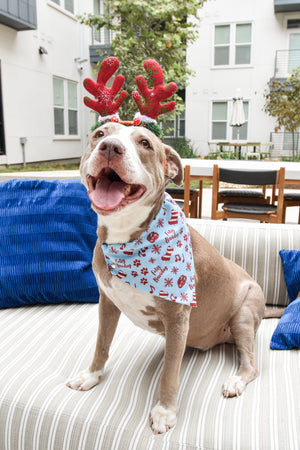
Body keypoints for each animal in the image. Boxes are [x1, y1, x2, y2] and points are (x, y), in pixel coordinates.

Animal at [66, 121, 264, 434]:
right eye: (100, 134)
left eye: (145, 143)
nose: (110, 147)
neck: (126, 239)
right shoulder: (107, 304)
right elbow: (101, 344)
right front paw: (91, 376)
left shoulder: (177, 318)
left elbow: (170, 369)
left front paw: (165, 411)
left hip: (244, 315)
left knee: (251, 363)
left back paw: (235, 380)